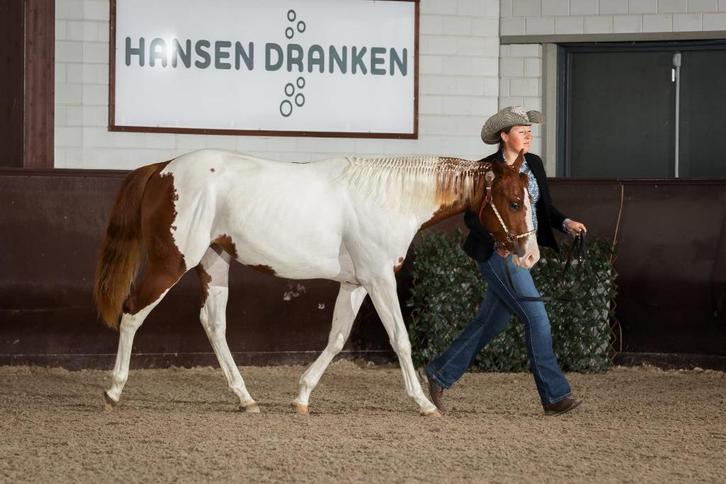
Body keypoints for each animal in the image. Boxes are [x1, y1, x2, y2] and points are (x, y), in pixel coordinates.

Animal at [94, 148, 538, 416]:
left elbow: (337, 338)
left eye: (530, 199)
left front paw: (302, 396)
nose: (529, 254)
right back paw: (113, 390)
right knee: (132, 313)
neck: (388, 199)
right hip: (171, 263)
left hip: (214, 263)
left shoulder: (356, 283)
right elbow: (400, 340)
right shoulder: (380, 279)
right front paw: (424, 403)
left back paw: (246, 398)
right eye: (514, 201)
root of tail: (161, 169)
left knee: (213, 324)